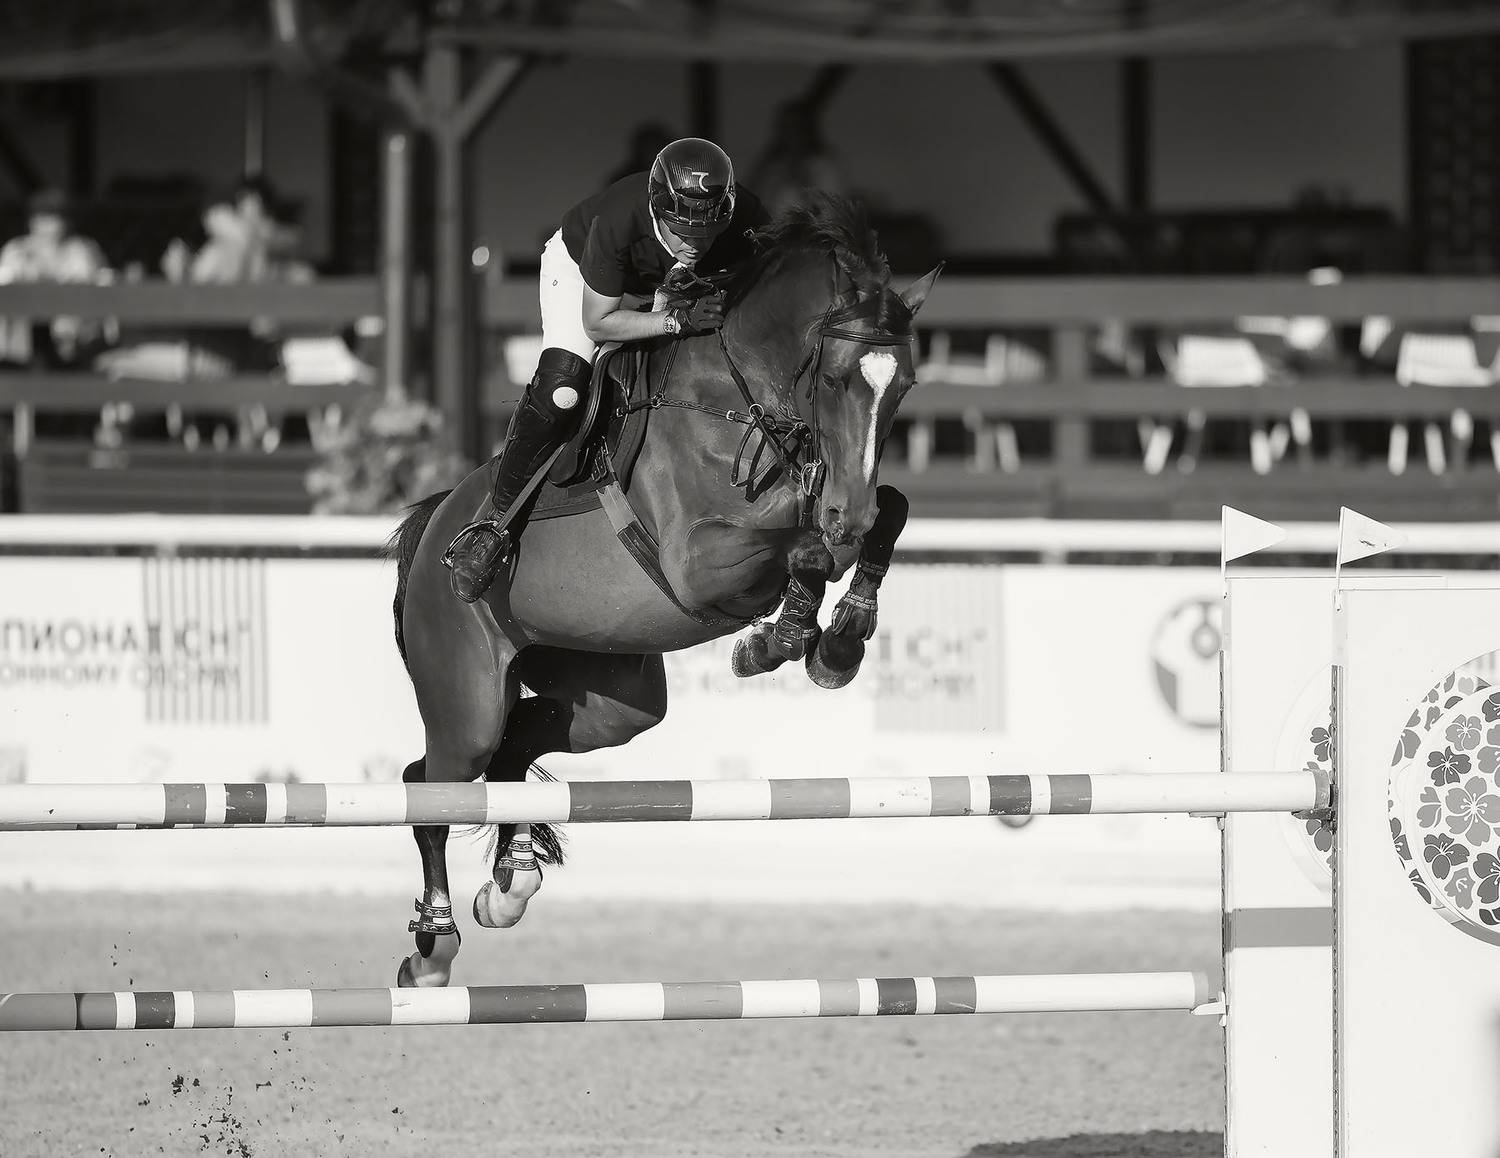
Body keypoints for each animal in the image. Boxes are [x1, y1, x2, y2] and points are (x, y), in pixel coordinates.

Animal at [387, 194, 940, 987]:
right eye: (836, 378)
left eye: (905, 387)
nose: (848, 514)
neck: (739, 398)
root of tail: (434, 523)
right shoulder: (698, 560)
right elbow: (802, 548)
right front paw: (785, 638)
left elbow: (883, 514)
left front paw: (837, 638)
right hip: (466, 693)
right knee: (434, 778)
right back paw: (434, 945)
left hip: (609, 699)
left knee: (512, 753)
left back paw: (511, 883)